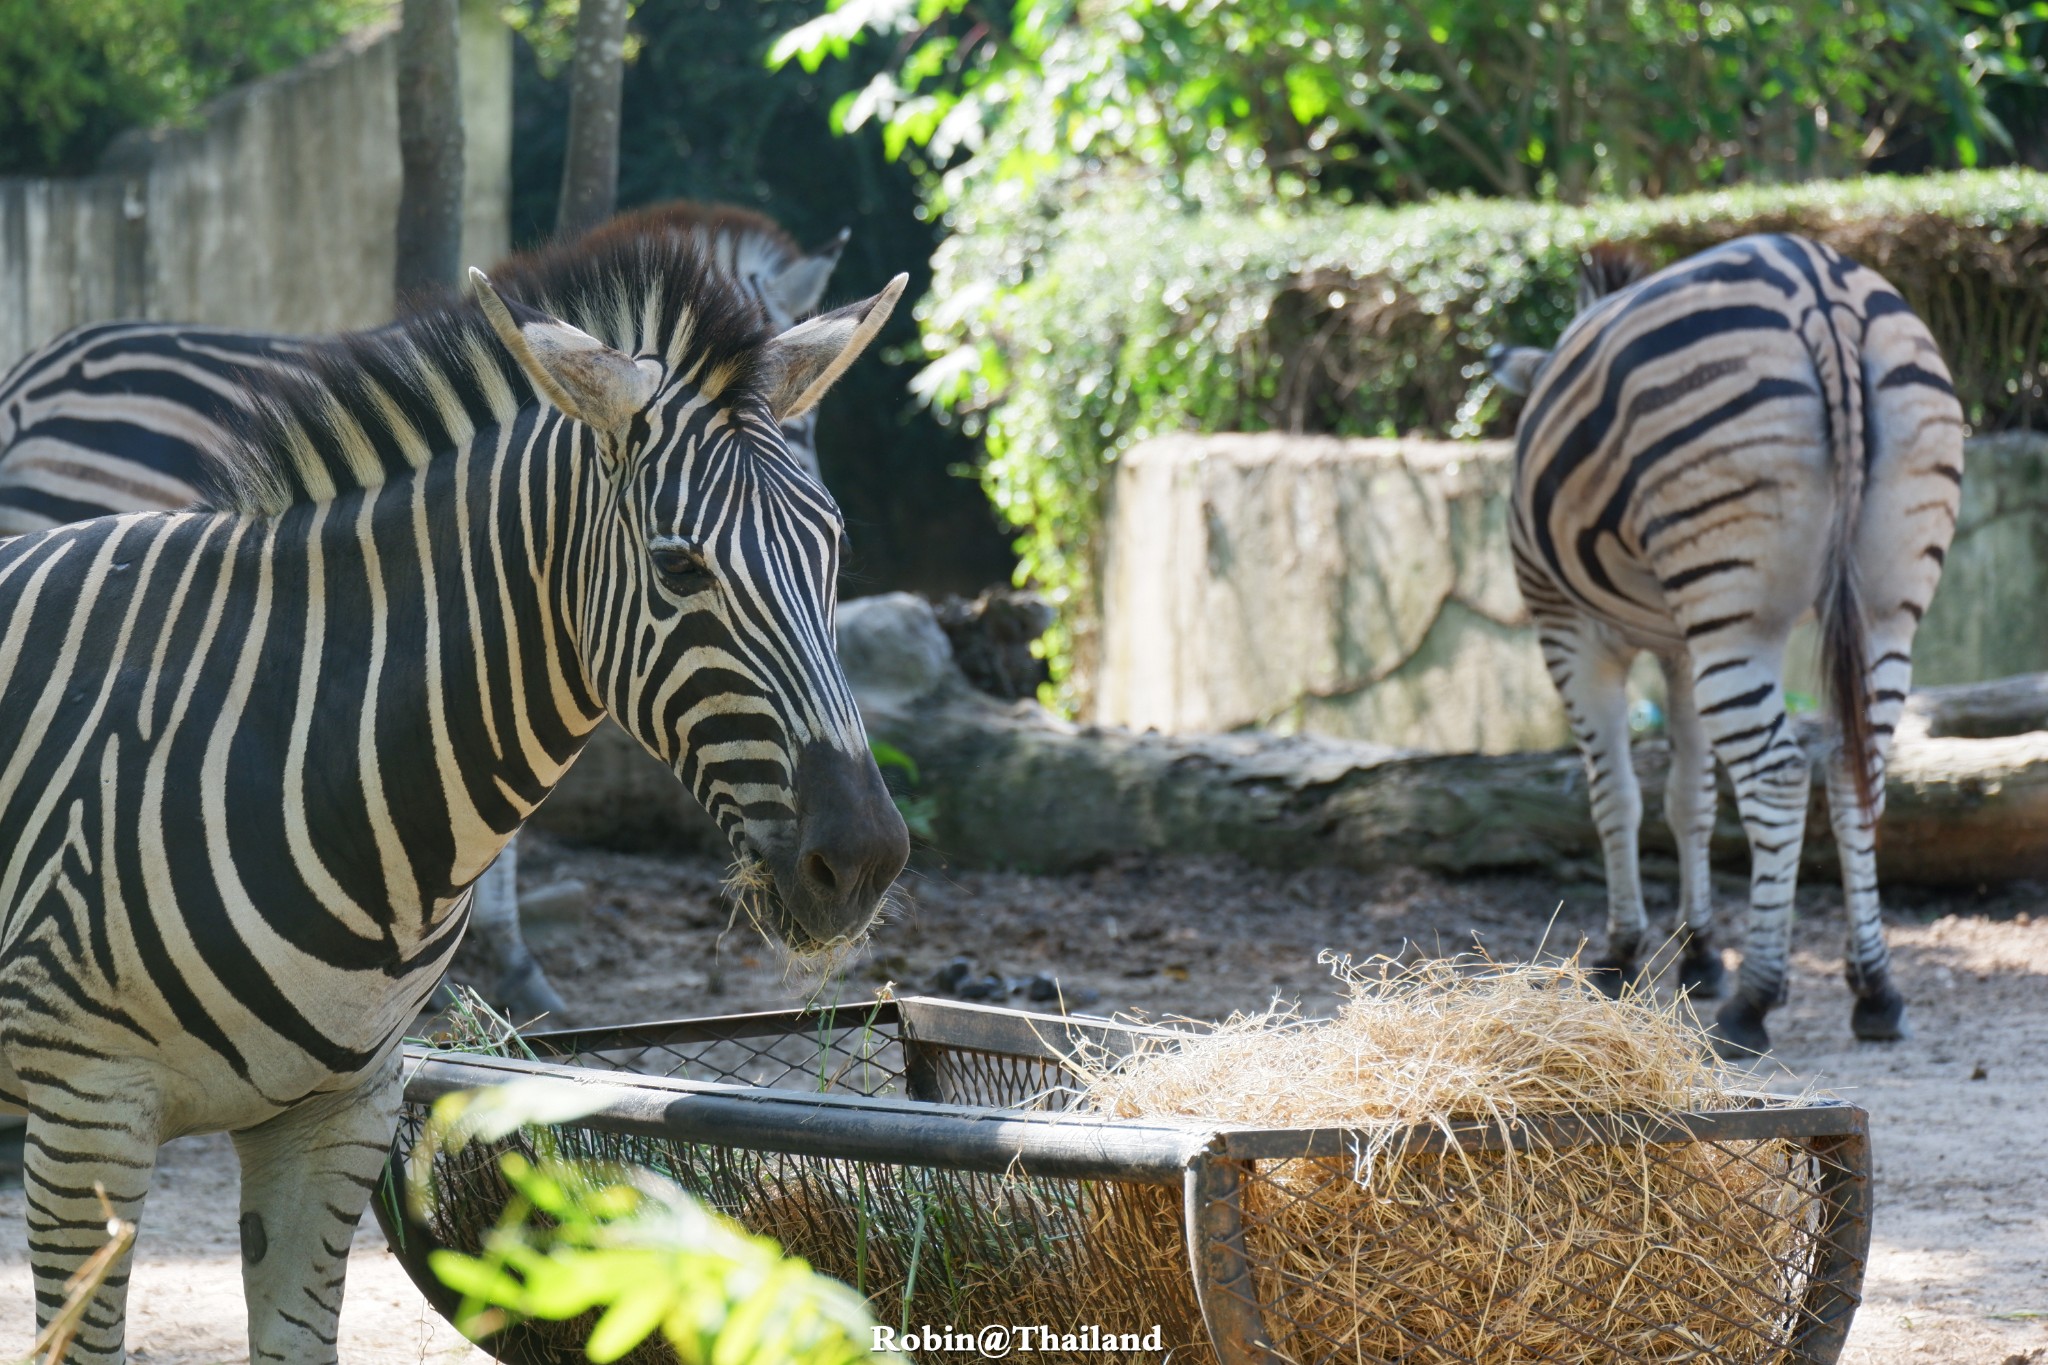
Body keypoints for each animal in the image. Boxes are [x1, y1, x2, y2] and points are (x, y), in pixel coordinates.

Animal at [1490, 235, 1966, 1055]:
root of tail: (1819, 285)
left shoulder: (1572, 634)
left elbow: (1616, 794)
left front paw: (1622, 955)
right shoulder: (1682, 647)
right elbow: (1690, 797)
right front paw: (1699, 951)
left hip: (1734, 611)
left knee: (1778, 776)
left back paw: (1754, 999)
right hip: (1880, 604)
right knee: (1855, 768)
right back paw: (1874, 986)